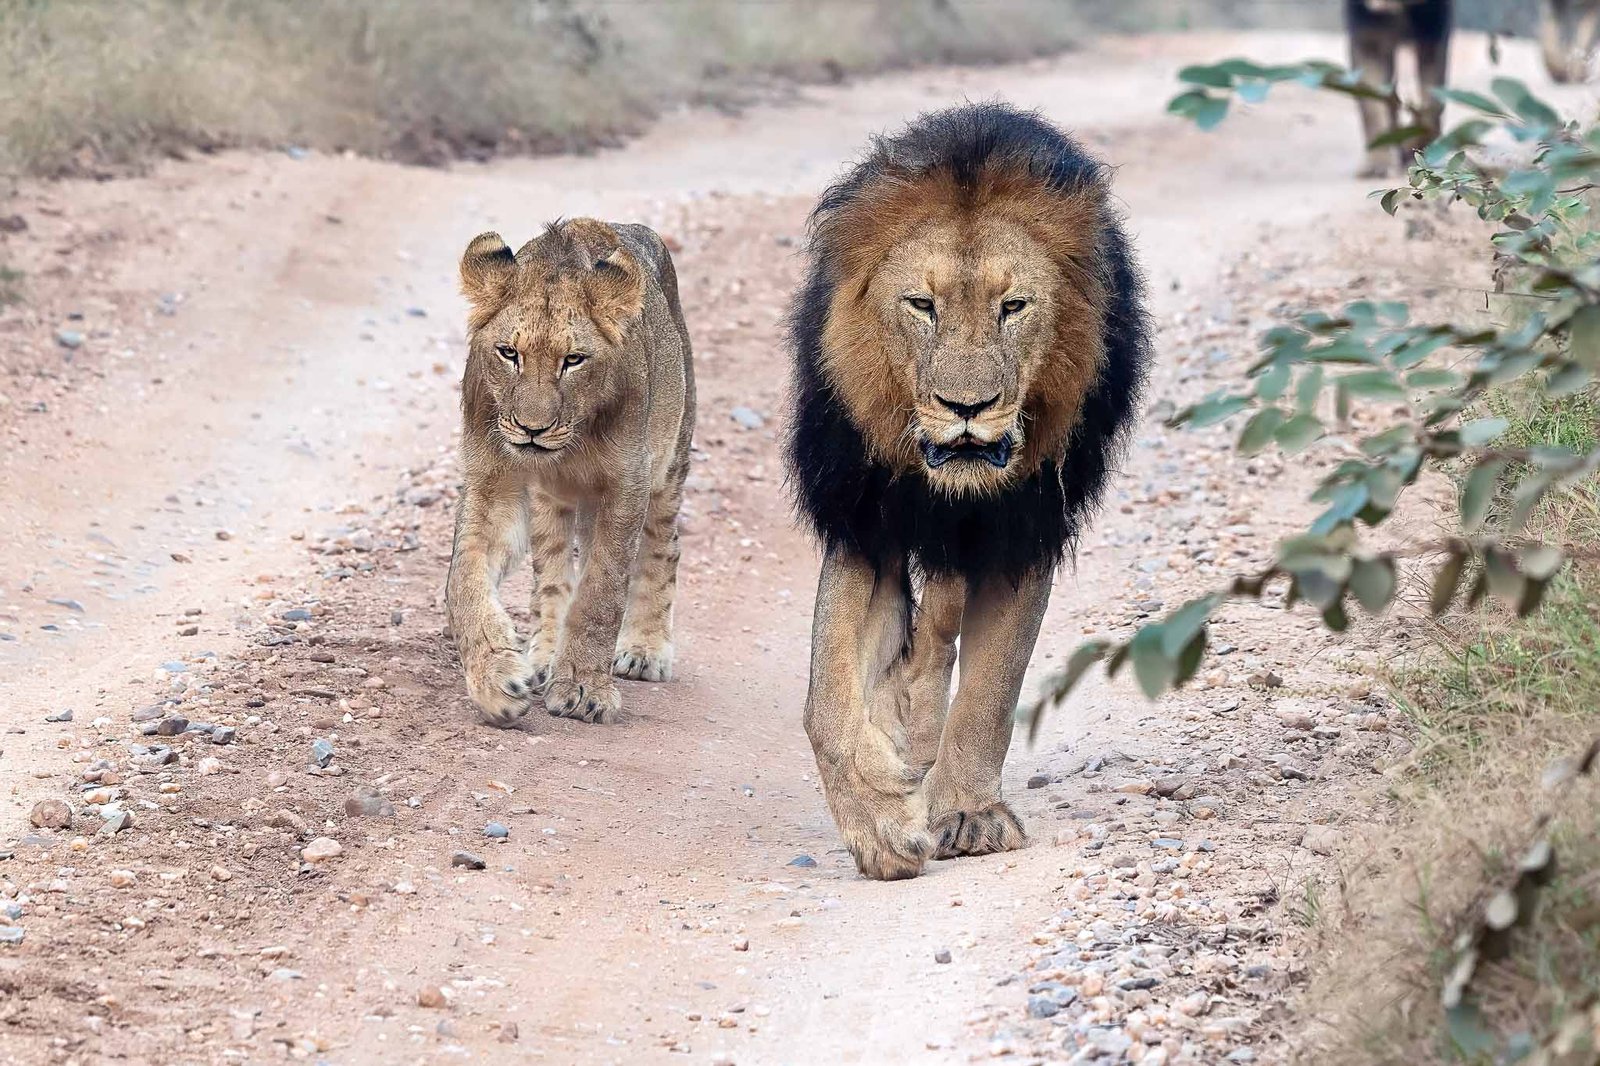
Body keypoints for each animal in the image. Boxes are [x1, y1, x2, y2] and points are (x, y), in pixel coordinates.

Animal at [446, 218, 695, 727]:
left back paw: (645, 649)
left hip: (670, 461)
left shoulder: (626, 486)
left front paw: (583, 690)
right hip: (552, 502)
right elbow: (465, 581)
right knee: (551, 573)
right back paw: (544, 655)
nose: (531, 429)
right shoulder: (493, 481)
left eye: (573, 360)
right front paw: (497, 681)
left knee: (664, 546)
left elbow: (601, 591)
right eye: (509, 353)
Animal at [784, 103, 1152, 881]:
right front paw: (880, 824)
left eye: (1013, 306)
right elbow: (826, 702)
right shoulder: (867, 516)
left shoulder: (1024, 525)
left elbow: (991, 688)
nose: (966, 408)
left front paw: (966, 814)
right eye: (921, 304)